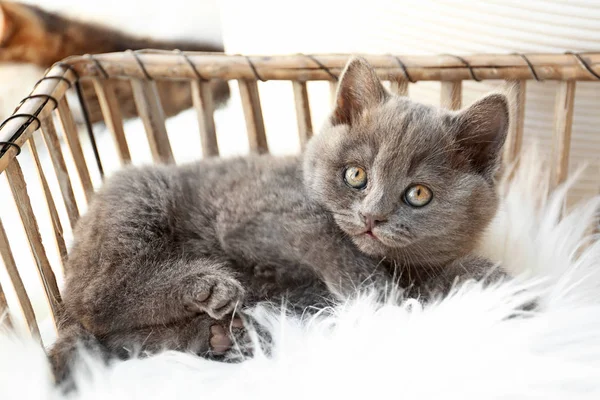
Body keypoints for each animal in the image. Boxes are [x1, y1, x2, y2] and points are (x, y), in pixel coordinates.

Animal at [51, 57, 508, 380]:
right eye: (355, 175)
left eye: (418, 194)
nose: (372, 216)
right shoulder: (250, 212)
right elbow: (322, 228)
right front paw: (371, 291)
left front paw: (500, 285)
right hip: (141, 194)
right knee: (97, 299)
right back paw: (206, 289)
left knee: (118, 339)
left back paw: (216, 336)